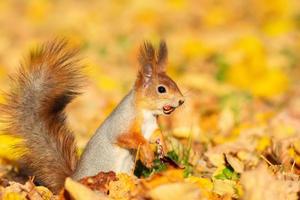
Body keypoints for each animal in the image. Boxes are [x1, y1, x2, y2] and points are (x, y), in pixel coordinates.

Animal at [0, 38, 184, 193]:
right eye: (161, 89)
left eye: (174, 83)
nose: (181, 100)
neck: (147, 113)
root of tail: (70, 183)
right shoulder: (122, 124)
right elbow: (129, 138)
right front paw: (147, 153)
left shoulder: (151, 128)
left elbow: (155, 135)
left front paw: (163, 145)